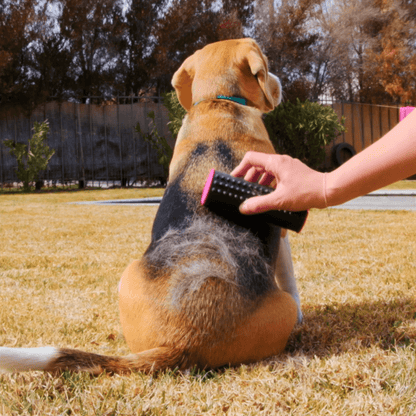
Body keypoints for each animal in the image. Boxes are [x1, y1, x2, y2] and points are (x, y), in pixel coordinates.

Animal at [0, 39, 302, 376]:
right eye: (265, 61)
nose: (280, 84)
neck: (217, 103)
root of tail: (181, 341)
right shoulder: (283, 234)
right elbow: (290, 276)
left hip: (128, 273)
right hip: (284, 308)